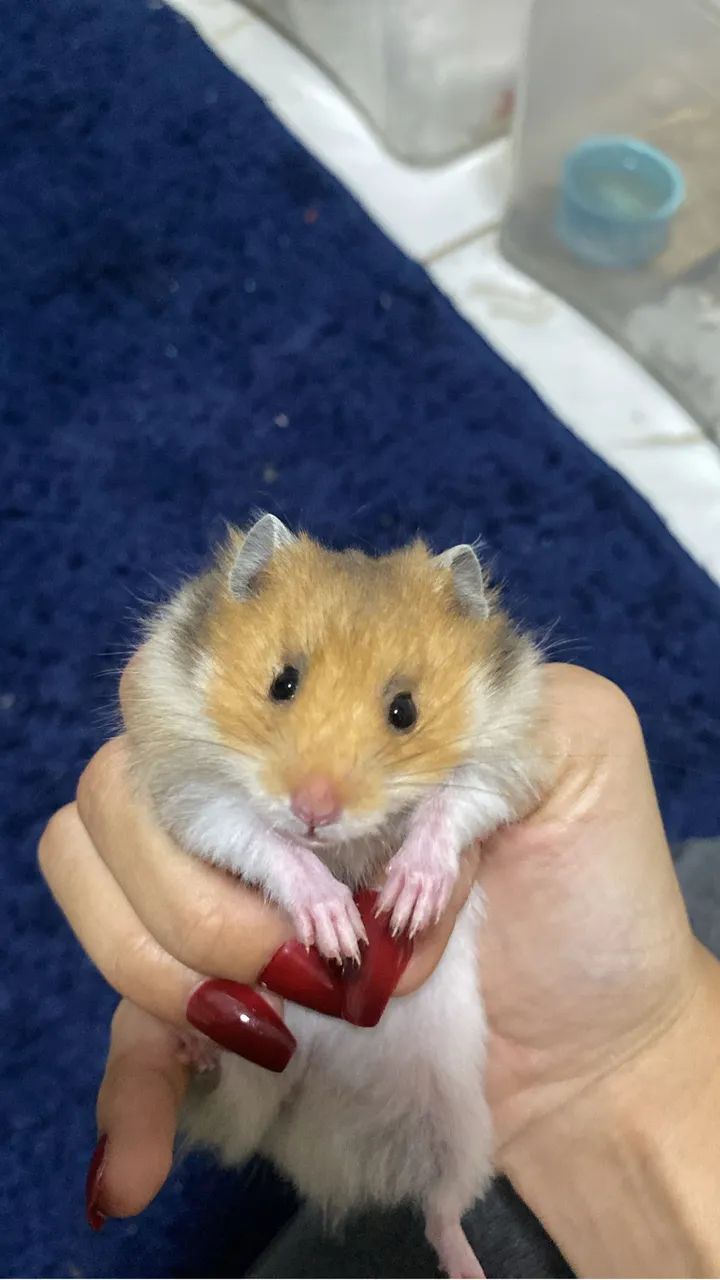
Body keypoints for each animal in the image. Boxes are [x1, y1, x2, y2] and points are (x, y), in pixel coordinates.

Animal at [123, 514, 544, 1279]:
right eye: (282, 682)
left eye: (405, 710)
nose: (313, 809)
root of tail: (332, 1161)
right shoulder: (192, 793)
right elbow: (269, 843)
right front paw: (341, 929)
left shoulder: (507, 765)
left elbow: (447, 810)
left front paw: (407, 901)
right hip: (253, 1094)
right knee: (225, 1111)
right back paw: (194, 1045)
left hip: (465, 1132)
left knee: (441, 1211)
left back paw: (468, 1266)